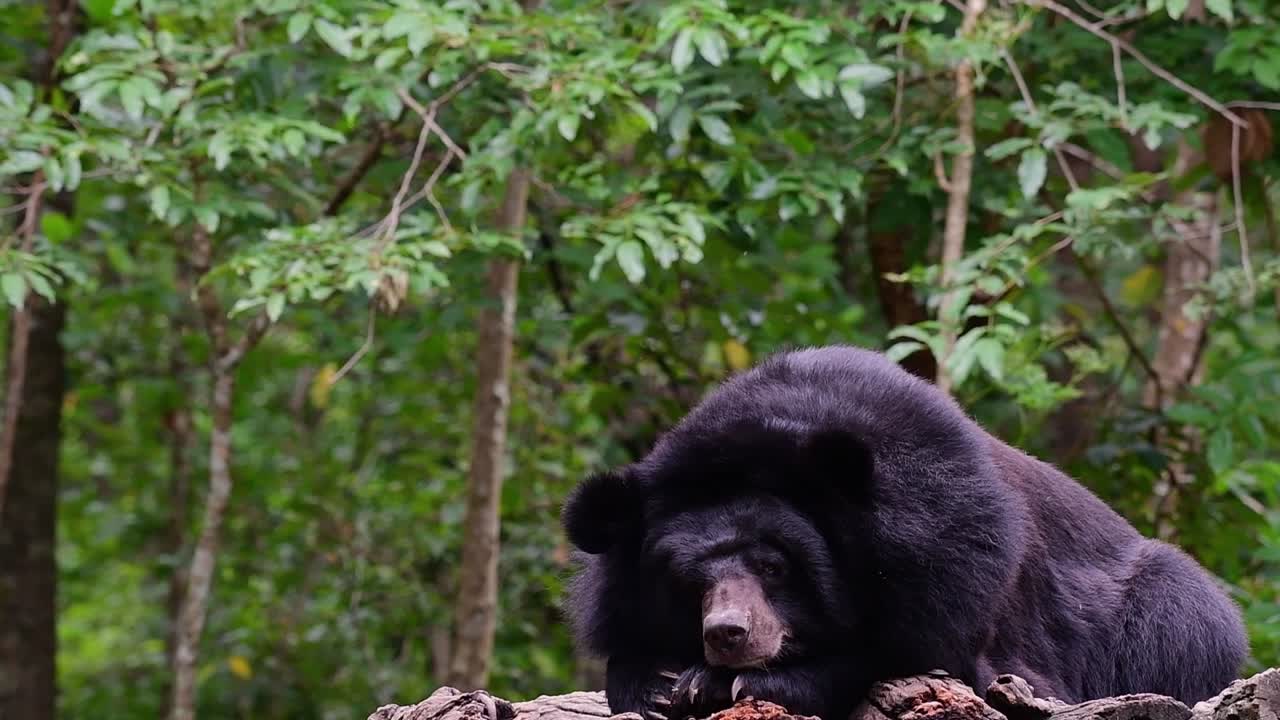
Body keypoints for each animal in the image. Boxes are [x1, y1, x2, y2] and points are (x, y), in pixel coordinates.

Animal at [560, 345, 1248, 720]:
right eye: (686, 580)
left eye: (776, 566)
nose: (728, 635)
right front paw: (657, 684)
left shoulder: (955, 553)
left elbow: (918, 656)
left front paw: (726, 682)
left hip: (1168, 616)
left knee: (1181, 619)